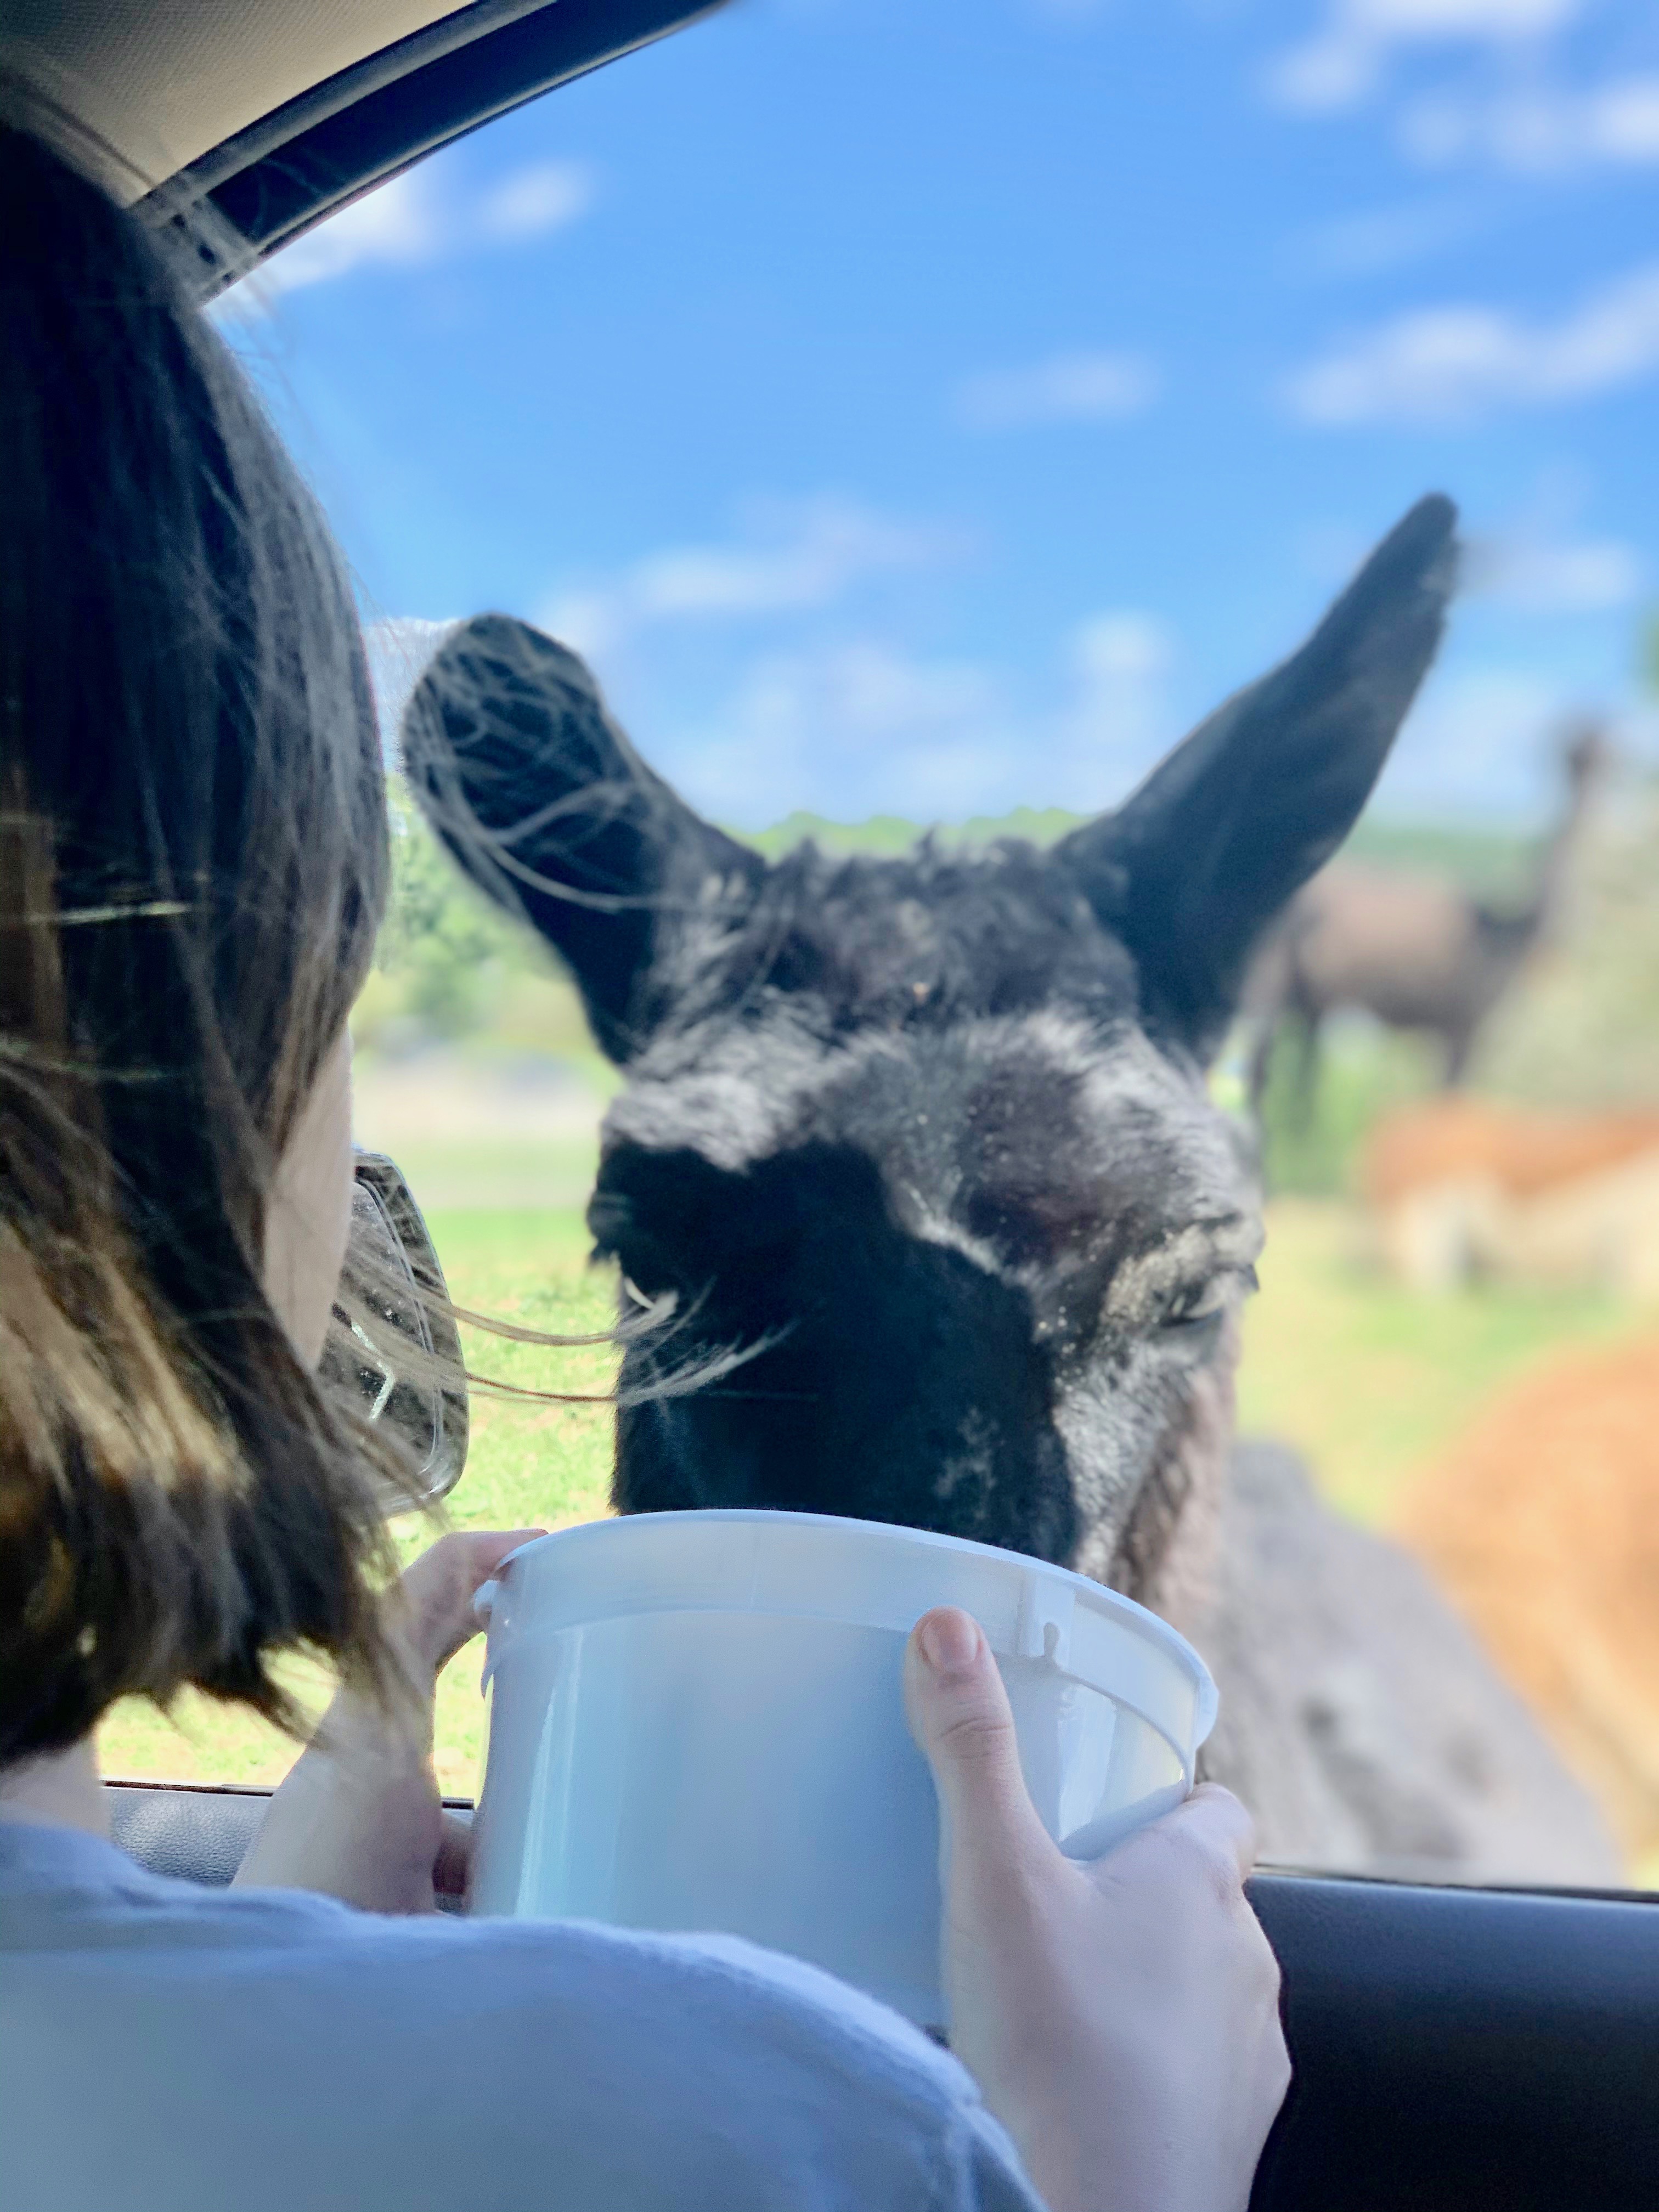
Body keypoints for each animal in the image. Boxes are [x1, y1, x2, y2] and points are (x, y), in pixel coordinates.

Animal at [1246, 719, 1611, 1114]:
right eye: (1571, 752)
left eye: (1610, 754)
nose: (1588, 768)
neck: (1508, 933)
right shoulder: (1461, 1027)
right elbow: (1447, 1102)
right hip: (1270, 981)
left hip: (1308, 1002)